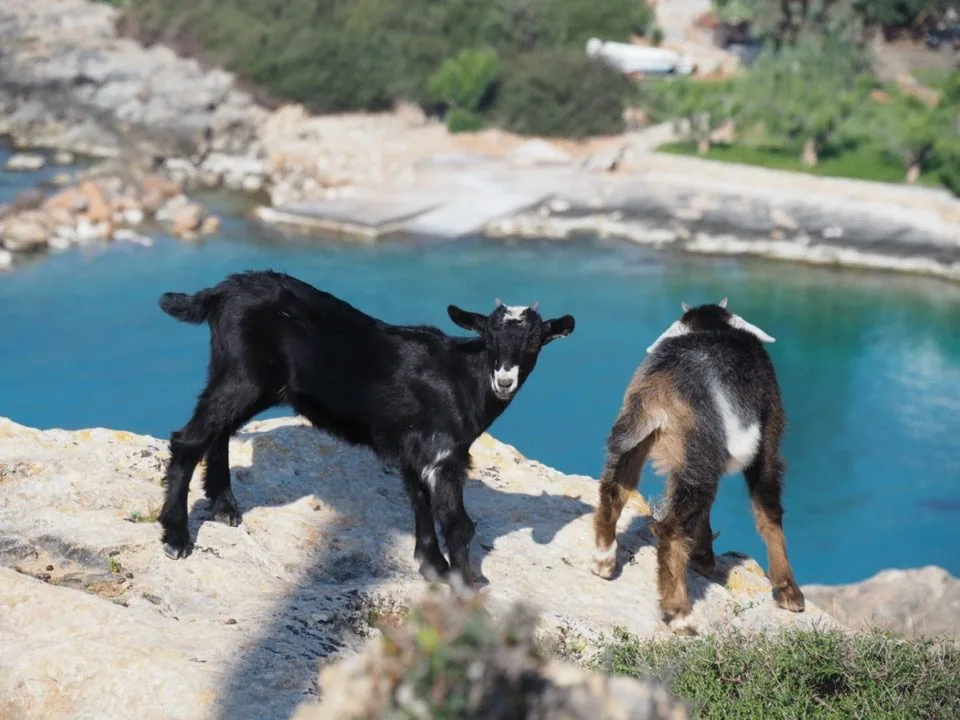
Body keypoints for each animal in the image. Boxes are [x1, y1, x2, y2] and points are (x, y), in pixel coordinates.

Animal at [155, 269, 575, 585]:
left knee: (219, 429)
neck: (462, 379)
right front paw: (465, 583)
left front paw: (431, 565)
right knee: (190, 438)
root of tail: (223, 290)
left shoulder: (414, 449)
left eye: (535, 342)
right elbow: (457, 522)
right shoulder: (443, 452)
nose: (504, 381)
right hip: (245, 375)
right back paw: (177, 537)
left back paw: (224, 505)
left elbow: (420, 501)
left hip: (245, 378)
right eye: (488, 338)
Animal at [590, 298, 804, 633]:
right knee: (671, 529)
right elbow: (769, 511)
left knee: (615, 489)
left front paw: (703, 559)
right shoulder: (767, 440)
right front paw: (789, 593)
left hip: (638, 443)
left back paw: (603, 560)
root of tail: (658, 390)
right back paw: (679, 614)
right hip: (699, 454)